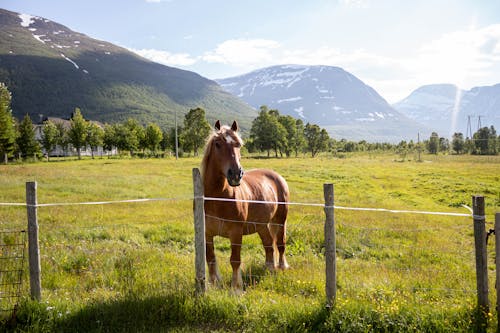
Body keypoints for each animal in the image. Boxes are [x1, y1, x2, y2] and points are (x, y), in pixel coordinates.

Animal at [201, 120, 292, 290]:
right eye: (217, 144)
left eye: (239, 144)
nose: (236, 174)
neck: (218, 199)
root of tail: (277, 176)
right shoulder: (207, 233)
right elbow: (210, 258)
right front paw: (214, 284)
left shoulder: (236, 233)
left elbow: (235, 260)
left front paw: (236, 288)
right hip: (262, 226)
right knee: (268, 244)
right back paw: (269, 268)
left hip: (280, 220)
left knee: (280, 244)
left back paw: (282, 267)